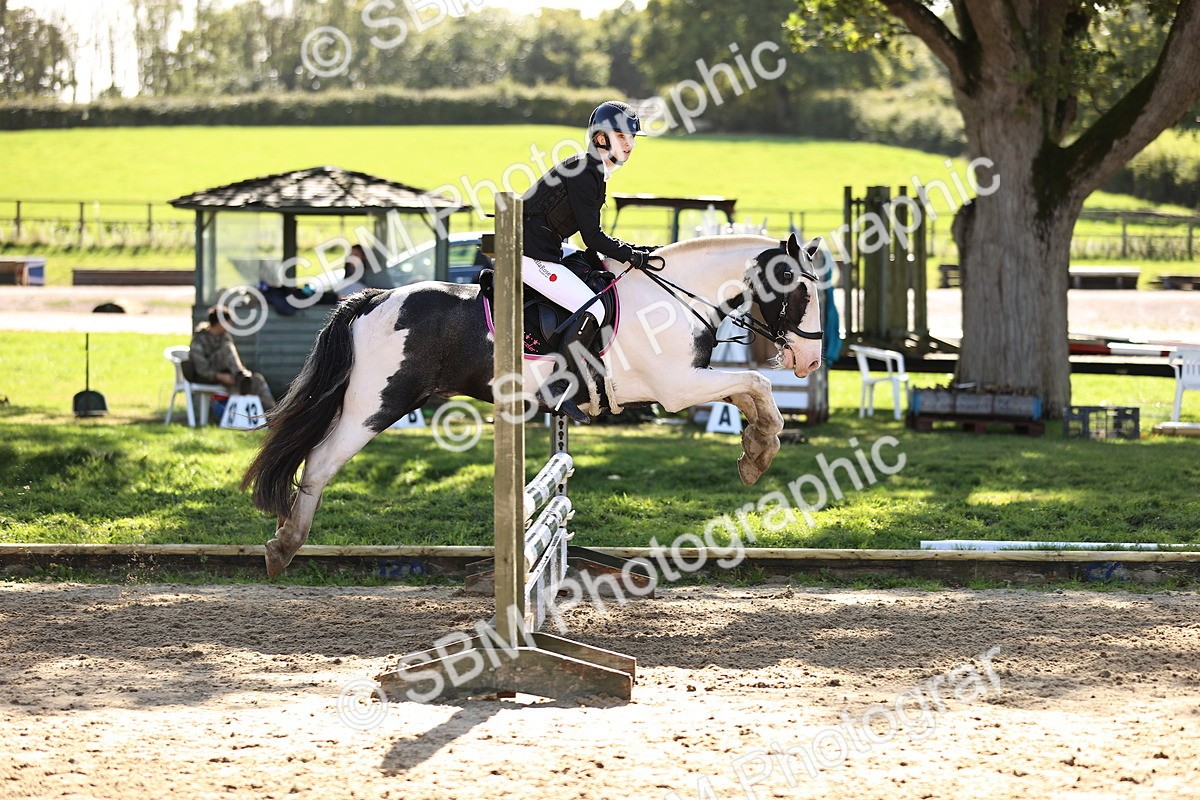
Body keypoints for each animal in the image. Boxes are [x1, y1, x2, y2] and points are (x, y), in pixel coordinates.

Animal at [242, 232, 827, 576]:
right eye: (800, 291)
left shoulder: (686, 383)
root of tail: (374, 299)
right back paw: (284, 546)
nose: (811, 360)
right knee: (318, 462)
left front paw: (755, 451)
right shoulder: (675, 386)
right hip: (375, 404)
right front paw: (759, 452)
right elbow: (756, 381)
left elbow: (751, 391)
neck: (677, 297)